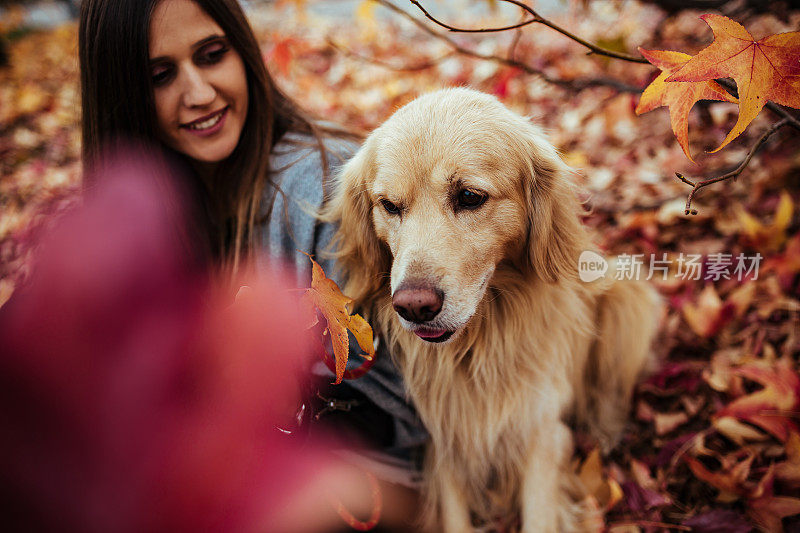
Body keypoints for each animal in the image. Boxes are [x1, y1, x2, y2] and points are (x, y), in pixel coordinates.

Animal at [322, 89, 660, 528]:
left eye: (469, 196)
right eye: (390, 205)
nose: (414, 307)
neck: (481, 341)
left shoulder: (540, 431)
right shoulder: (443, 442)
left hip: (627, 292)